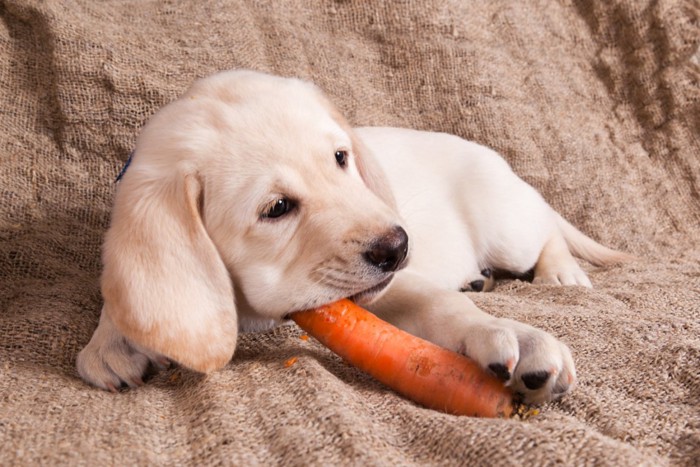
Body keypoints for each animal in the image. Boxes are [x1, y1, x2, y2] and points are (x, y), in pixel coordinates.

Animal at [75, 68, 628, 402]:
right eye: (277, 208)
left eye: (341, 158)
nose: (399, 247)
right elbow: (125, 293)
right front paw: (113, 340)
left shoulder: (391, 286)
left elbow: (442, 305)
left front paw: (512, 335)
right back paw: (481, 279)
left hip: (508, 223)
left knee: (546, 228)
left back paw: (561, 272)